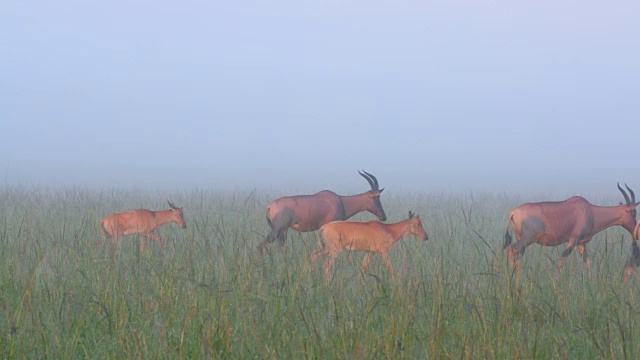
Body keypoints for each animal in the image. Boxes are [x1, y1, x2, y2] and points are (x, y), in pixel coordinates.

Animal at [258, 171, 388, 250]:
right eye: (376, 197)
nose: (383, 216)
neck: (340, 200)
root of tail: (270, 206)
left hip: (283, 231)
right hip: (277, 230)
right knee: (262, 245)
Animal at [502, 184, 636, 278]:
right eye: (634, 212)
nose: (636, 232)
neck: (590, 210)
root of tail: (514, 212)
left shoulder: (581, 243)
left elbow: (587, 261)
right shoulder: (572, 240)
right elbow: (561, 261)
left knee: (516, 253)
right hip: (527, 239)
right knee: (512, 249)